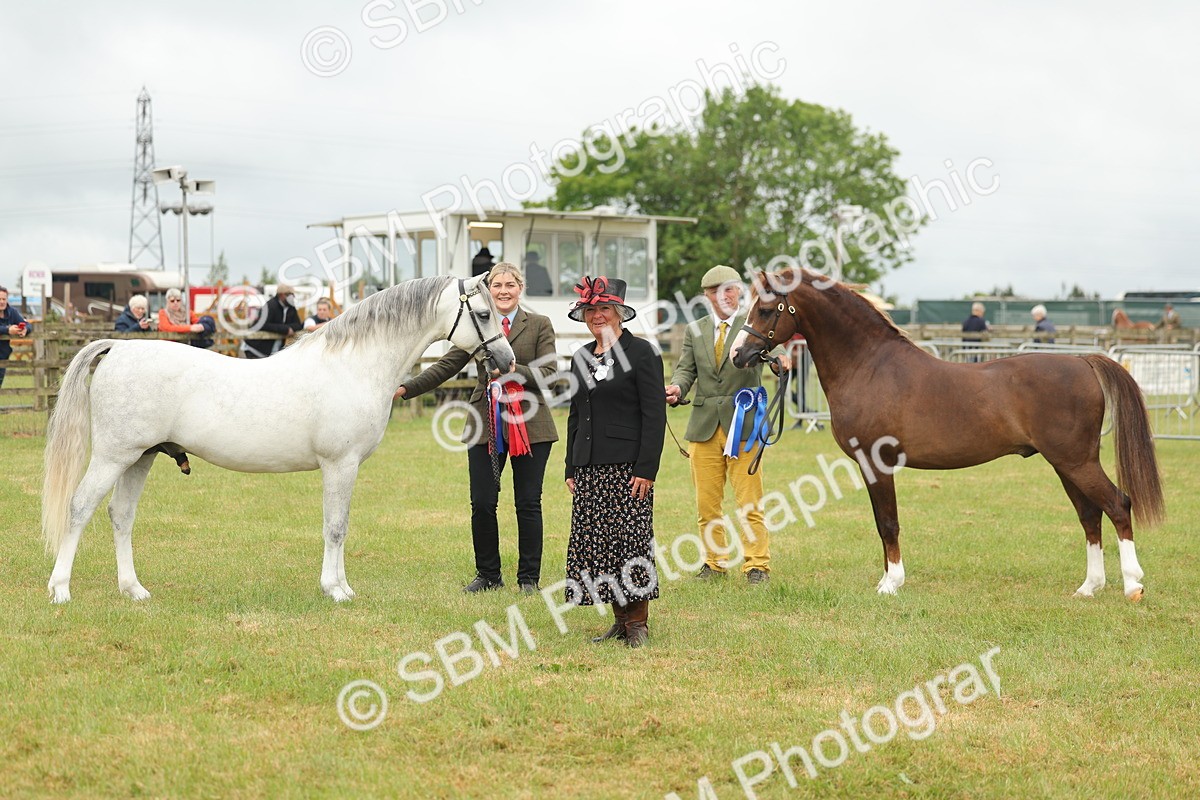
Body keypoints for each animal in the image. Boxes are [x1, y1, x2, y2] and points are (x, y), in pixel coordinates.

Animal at [42, 275, 515, 604]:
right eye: (484, 314)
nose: (507, 360)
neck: (354, 364)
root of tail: (119, 347)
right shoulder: (339, 464)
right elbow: (335, 527)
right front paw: (334, 590)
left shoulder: (345, 469)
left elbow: (340, 525)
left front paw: (342, 586)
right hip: (113, 456)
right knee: (80, 508)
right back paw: (61, 589)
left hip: (140, 457)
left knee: (120, 516)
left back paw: (133, 590)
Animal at [731, 267, 1164, 600]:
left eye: (766, 309)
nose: (737, 354)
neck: (869, 365)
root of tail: (1082, 361)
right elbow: (882, 523)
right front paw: (887, 578)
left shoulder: (877, 462)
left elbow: (888, 523)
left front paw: (891, 584)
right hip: (1066, 464)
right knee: (1090, 516)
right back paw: (1089, 587)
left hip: (1076, 461)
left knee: (1118, 505)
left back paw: (1132, 585)